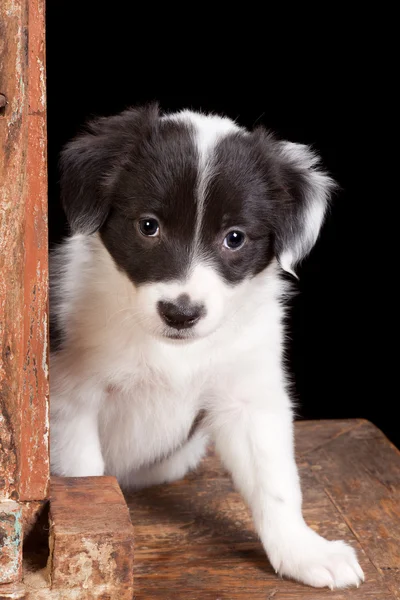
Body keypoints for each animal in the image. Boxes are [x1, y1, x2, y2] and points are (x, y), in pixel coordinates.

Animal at [49, 105, 362, 588]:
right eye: (148, 227)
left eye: (234, 237)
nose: (181, 313)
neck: (173, 351)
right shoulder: (73, 400)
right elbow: (84, 480)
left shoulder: (249, 397)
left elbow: (276, 483)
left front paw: (303, 549)